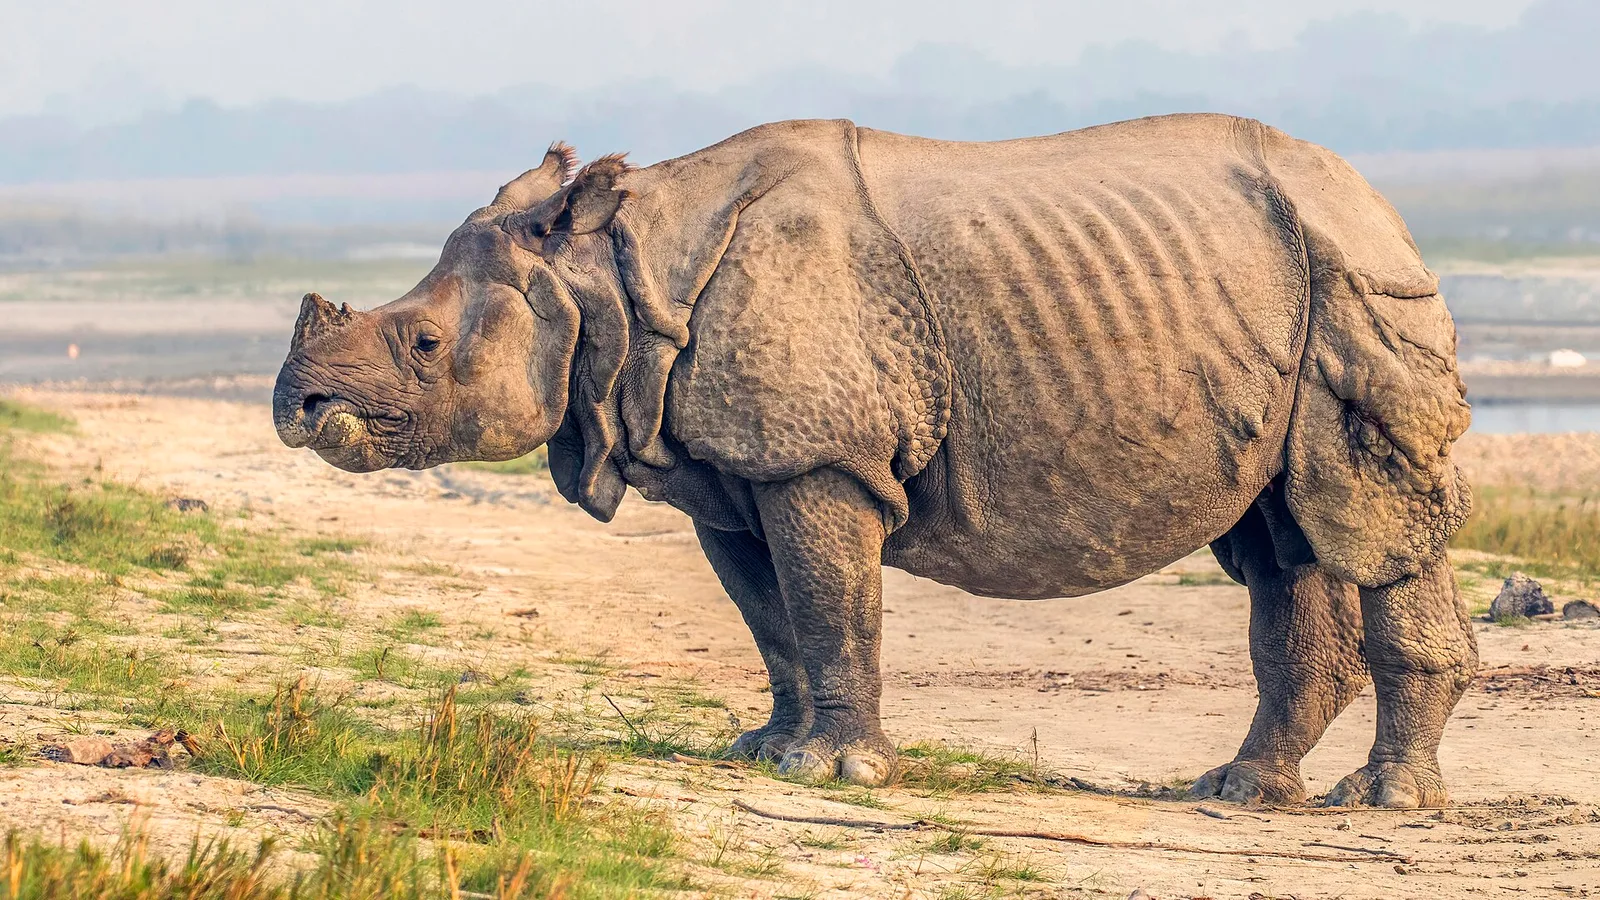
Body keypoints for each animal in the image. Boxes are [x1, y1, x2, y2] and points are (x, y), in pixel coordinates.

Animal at [274, 115, 1476, 808]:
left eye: (425, 346)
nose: (301, 404)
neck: (608, 272)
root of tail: (1375, 197)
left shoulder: (819, 456)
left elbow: (830, 599)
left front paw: (837, 774)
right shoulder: (732, 474)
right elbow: (775, 616)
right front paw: (767, 752)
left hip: (1359, 274)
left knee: (1371, 522)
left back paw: (1381, 803)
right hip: (1287, 281)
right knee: (1280, 536)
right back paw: (1239, 791)